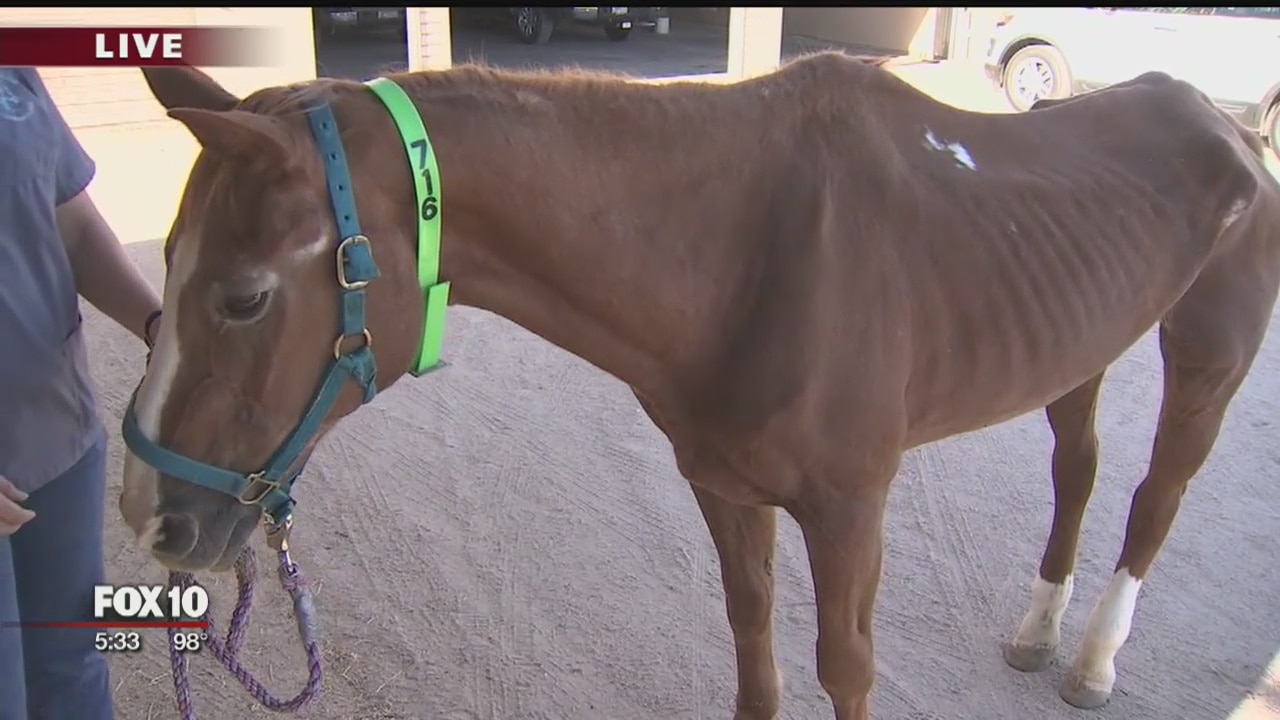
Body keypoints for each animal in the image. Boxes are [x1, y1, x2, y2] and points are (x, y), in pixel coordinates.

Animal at [119, 55, 1280, 719]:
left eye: (243, 297)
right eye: (164, 265)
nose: (151, 518)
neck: (740, 249)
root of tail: (1226, 122)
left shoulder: (851, 510)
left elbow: (843, 667)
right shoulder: (724, 489)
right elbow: (751, 646)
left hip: (1208, 354)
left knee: (1154, 497)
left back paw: (1094, 658)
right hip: (1076, 349)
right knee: (1077, 471)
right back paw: (1041, 632)